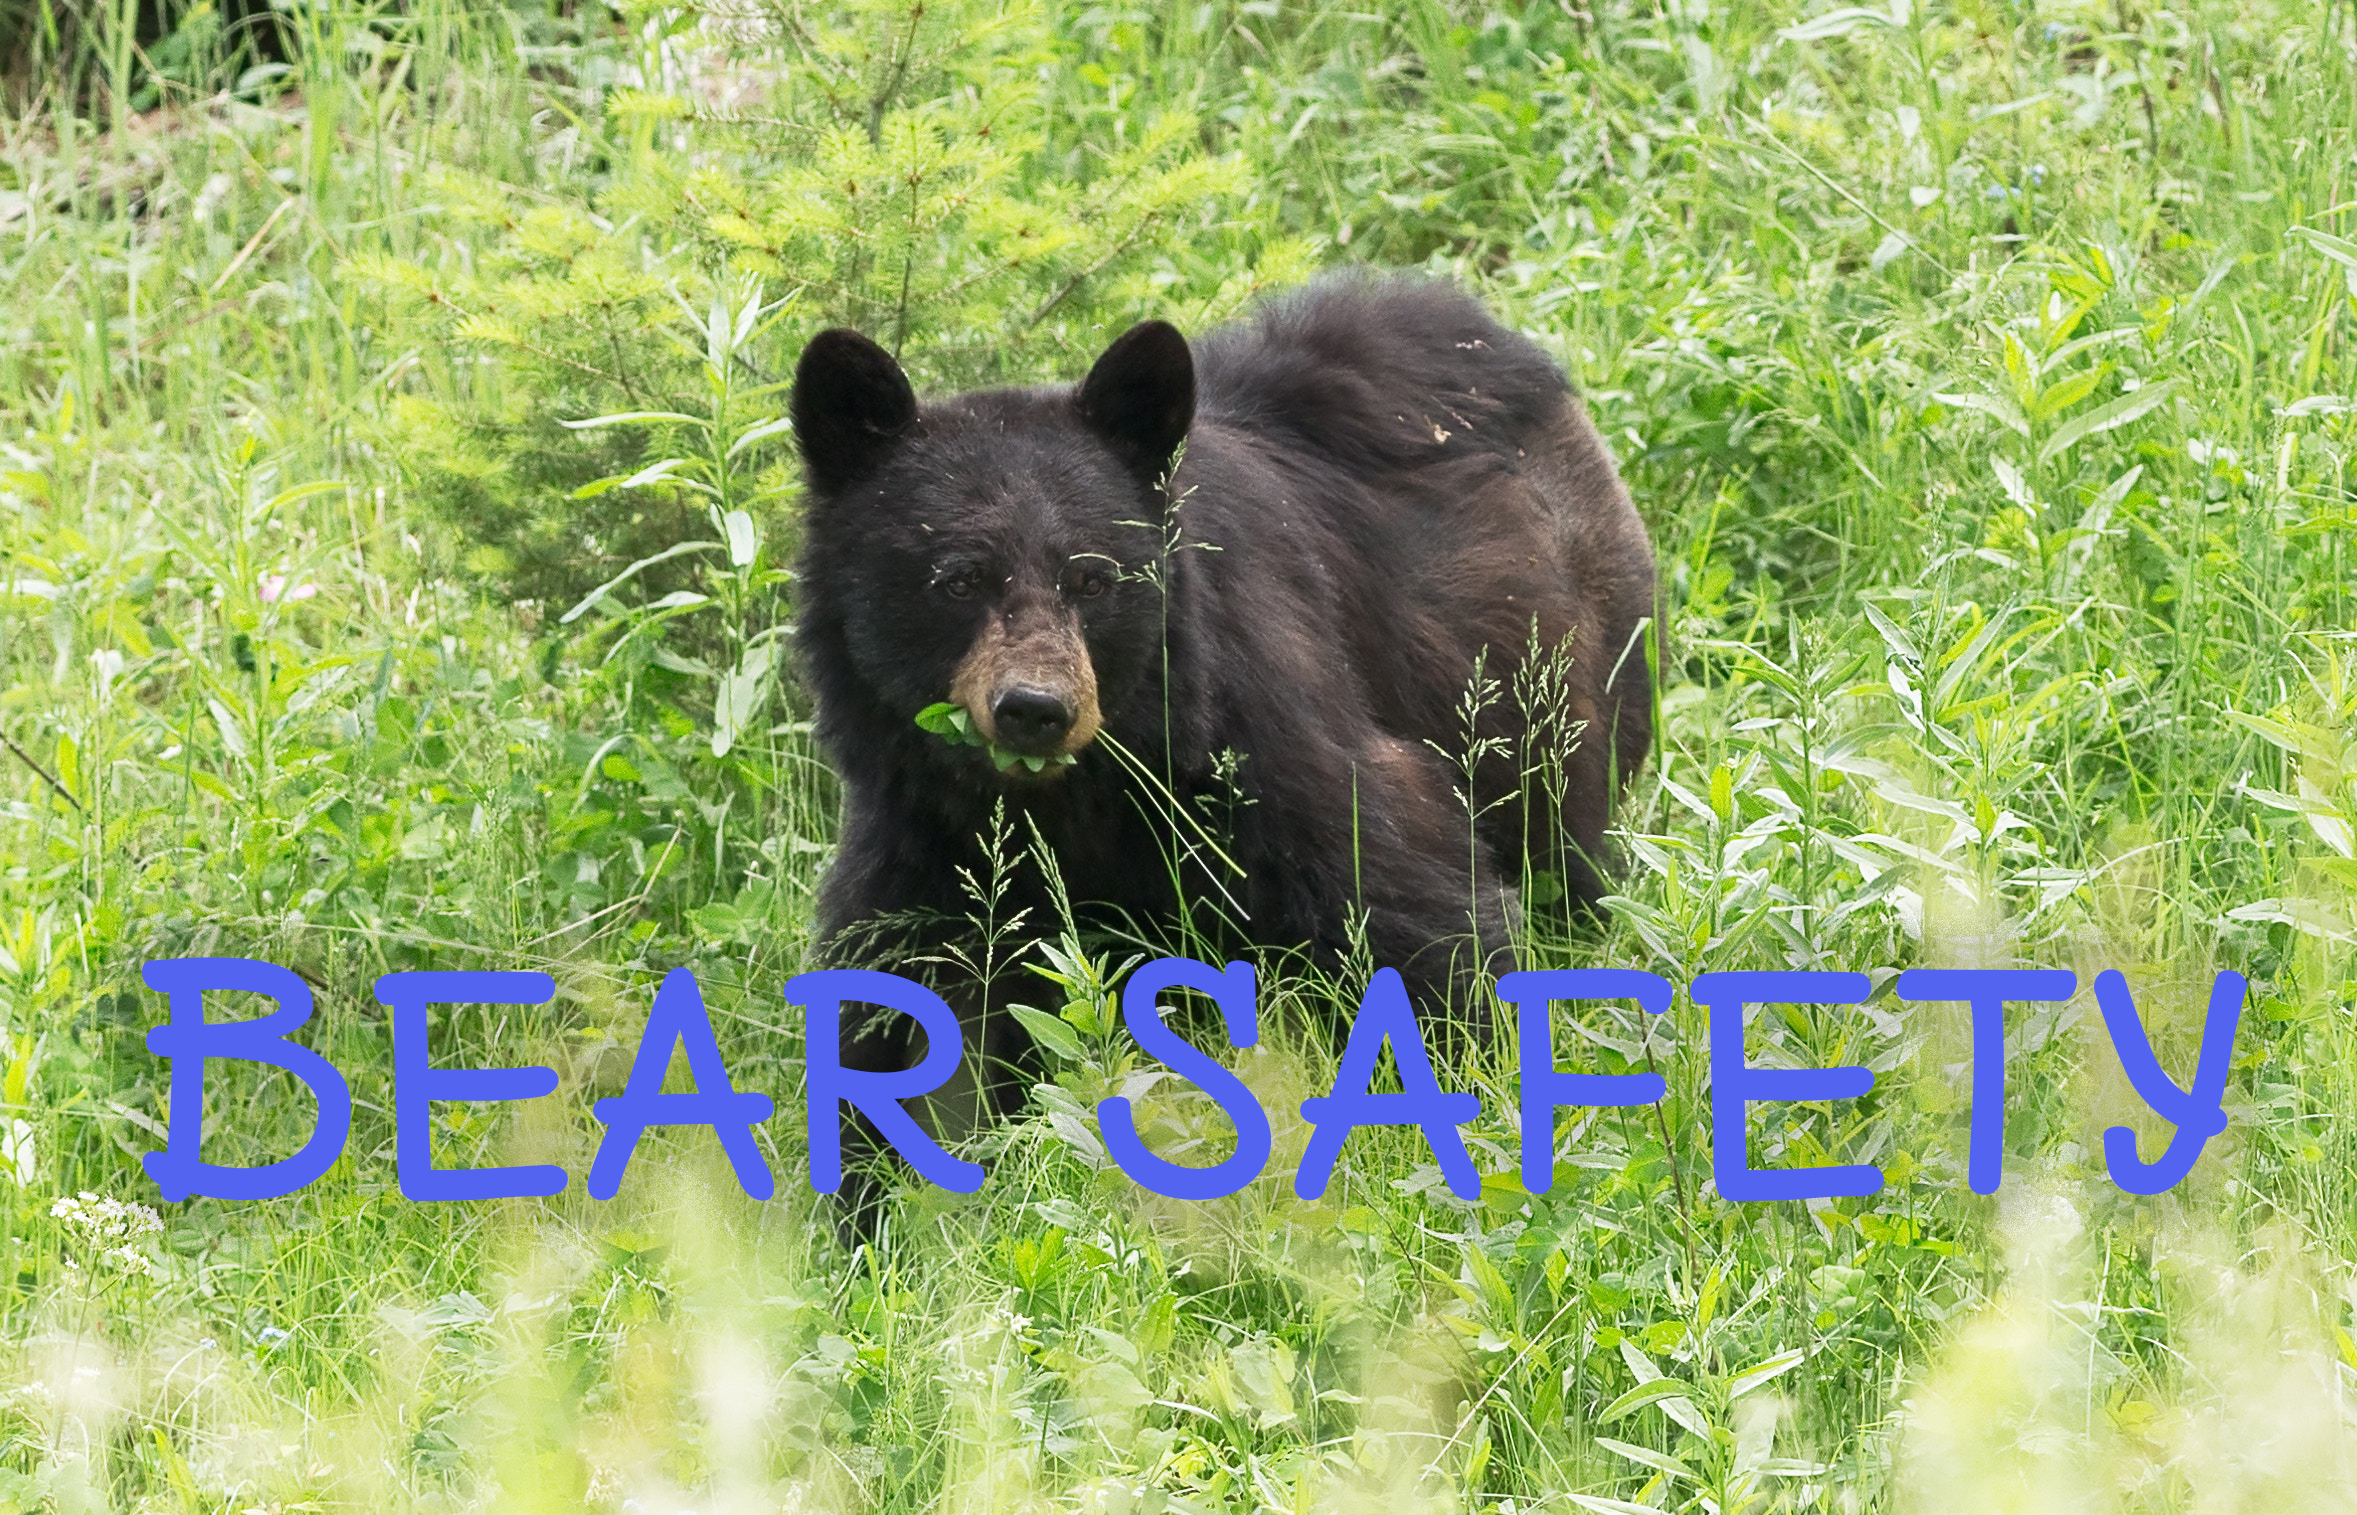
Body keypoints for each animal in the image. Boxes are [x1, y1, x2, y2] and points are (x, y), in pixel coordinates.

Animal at [789, 274, 1656, 1200]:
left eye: (1092, 577)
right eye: (958, 579)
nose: (1034, 707)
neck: (1071, 795)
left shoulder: (1264, 730)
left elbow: (1402, 904)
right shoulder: (922, 831)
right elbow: (896, 1014)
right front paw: (871, 1198)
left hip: (1560, 693)